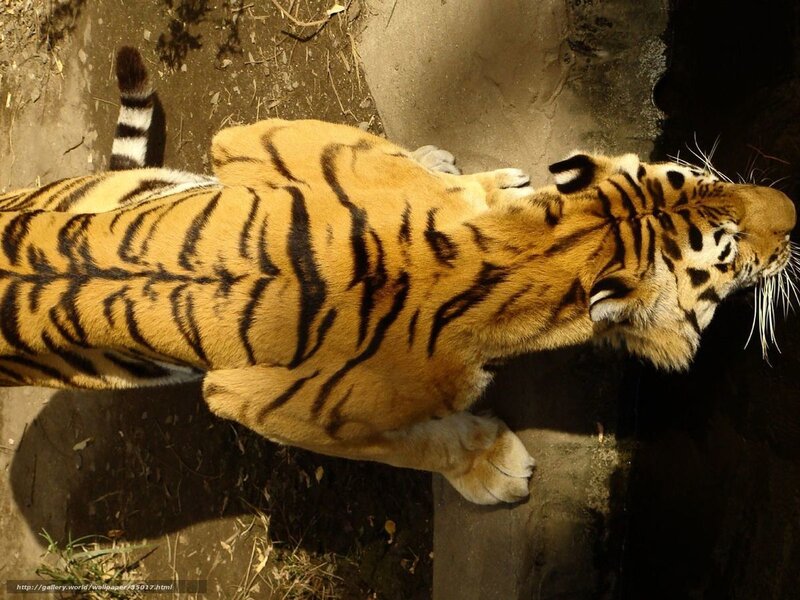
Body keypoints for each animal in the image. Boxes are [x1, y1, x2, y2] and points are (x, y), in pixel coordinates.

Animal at [0, 63, 795, 506]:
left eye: (704, 177)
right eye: (730, 250)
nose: (793, 210)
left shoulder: (252, 140)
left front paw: (469, 177)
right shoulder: (263, 404)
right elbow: (409, 446)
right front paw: (492, 466)